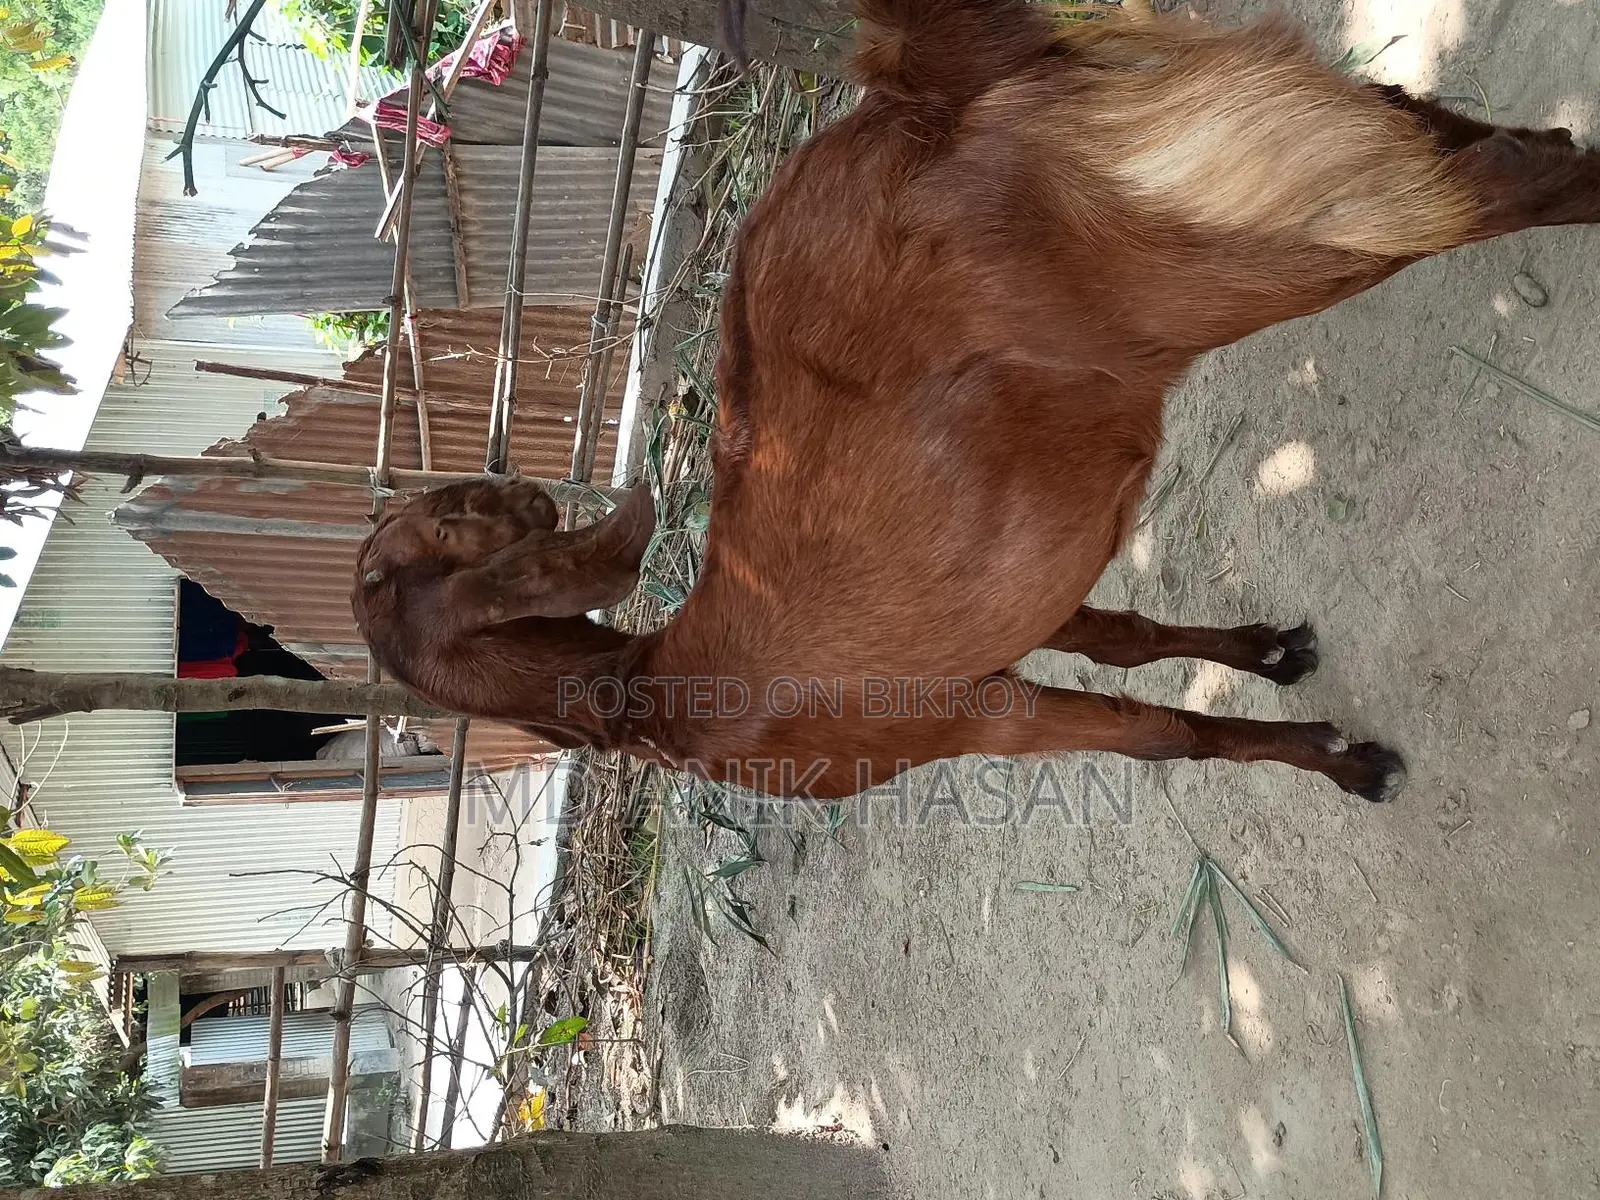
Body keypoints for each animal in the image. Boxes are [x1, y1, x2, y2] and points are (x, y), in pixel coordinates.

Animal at [354, 0, 1600, 804]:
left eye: (401, 552)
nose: (516, 487)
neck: (656, 701)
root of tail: (929, 94)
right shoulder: (1009, 637)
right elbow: (1127, 642)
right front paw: (1268, 652)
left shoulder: (972, 721)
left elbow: (1157, 737)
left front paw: (1341, 764)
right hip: (1274, 162)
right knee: (1467, 140)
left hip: (1224, 252)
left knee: (1505, 184)